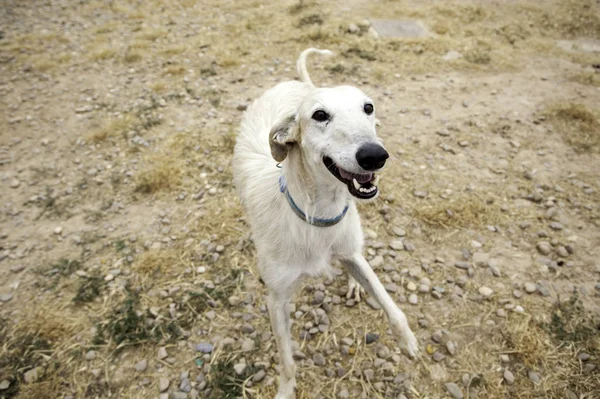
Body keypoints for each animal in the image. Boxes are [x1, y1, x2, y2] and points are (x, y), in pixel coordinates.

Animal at [233, 48, 418, 398]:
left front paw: (408, 340)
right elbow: (287, 361)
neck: (315, 216)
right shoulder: (276, 299)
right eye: (319, 115)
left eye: (368, 107)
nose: (375, 155)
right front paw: (286, 390)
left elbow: (389, 302)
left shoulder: (351, 251)